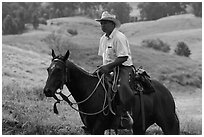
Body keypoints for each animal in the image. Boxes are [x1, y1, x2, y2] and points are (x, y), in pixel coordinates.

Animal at [43, 49, 178, 135]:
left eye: (59, 69)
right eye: (48, 69)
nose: (47, 91)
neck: (89, 90)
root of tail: (166, 92)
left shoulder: (98, 128)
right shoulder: (89, 129)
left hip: (169, 124)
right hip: (139, 127)